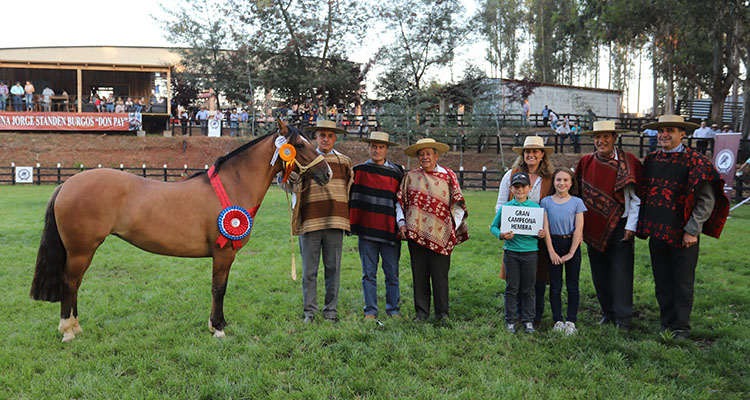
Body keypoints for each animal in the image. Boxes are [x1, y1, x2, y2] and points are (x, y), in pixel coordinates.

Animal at [31, 122, 332, 340]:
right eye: (300, 144)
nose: (327, 173)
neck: (232, 186)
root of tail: (66, 184)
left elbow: (220, 288)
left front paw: (220, 323)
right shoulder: (223, 254)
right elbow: (218, 288)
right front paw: (217, 328)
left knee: (76, 284)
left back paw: (76, 327)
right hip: (81, 250)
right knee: (70, 283)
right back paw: (68, 331)